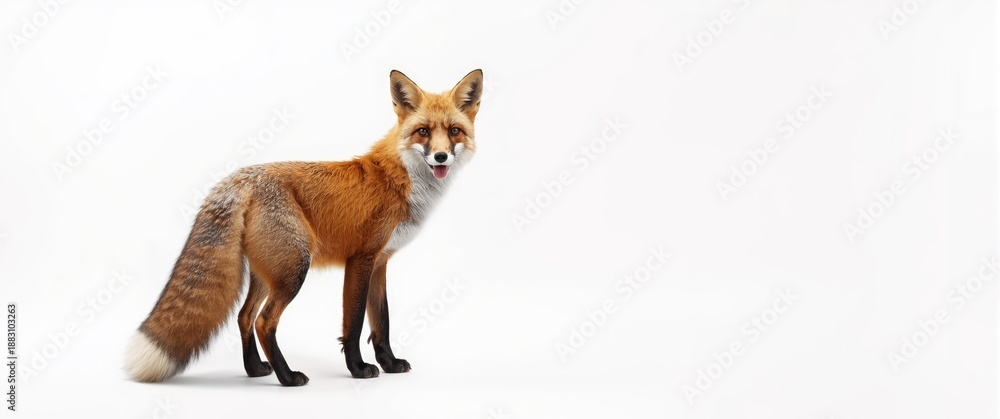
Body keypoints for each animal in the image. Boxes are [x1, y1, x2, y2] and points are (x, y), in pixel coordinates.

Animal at [124, 69, 483, 386]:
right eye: (423, 132)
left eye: (454, 131)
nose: (440, 157)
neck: (401, 178)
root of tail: (239, 178)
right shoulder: (361, 259)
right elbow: (353, 325)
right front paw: (358, 369)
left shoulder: (381, 261)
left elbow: (382, 321)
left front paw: (390, 364)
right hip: (294, 268)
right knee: (264, 321)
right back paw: (287, 377)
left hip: (269, 271)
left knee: (244, 316)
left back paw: (255, 369)